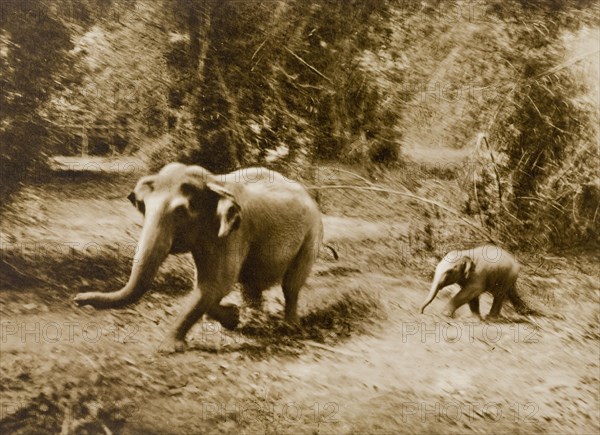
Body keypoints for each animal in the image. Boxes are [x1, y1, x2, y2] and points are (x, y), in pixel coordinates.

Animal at [75, 164, 324, 354]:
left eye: (180, 212)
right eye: (143, 207)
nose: (77, 299)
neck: (213, 181)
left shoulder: (233, 234)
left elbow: (216, 284)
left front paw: (168, 348)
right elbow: (204, 285)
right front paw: (233, 317)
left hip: (312, 233)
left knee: (291, 284)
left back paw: (289, 328)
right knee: (252, 284)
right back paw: (252, 317)